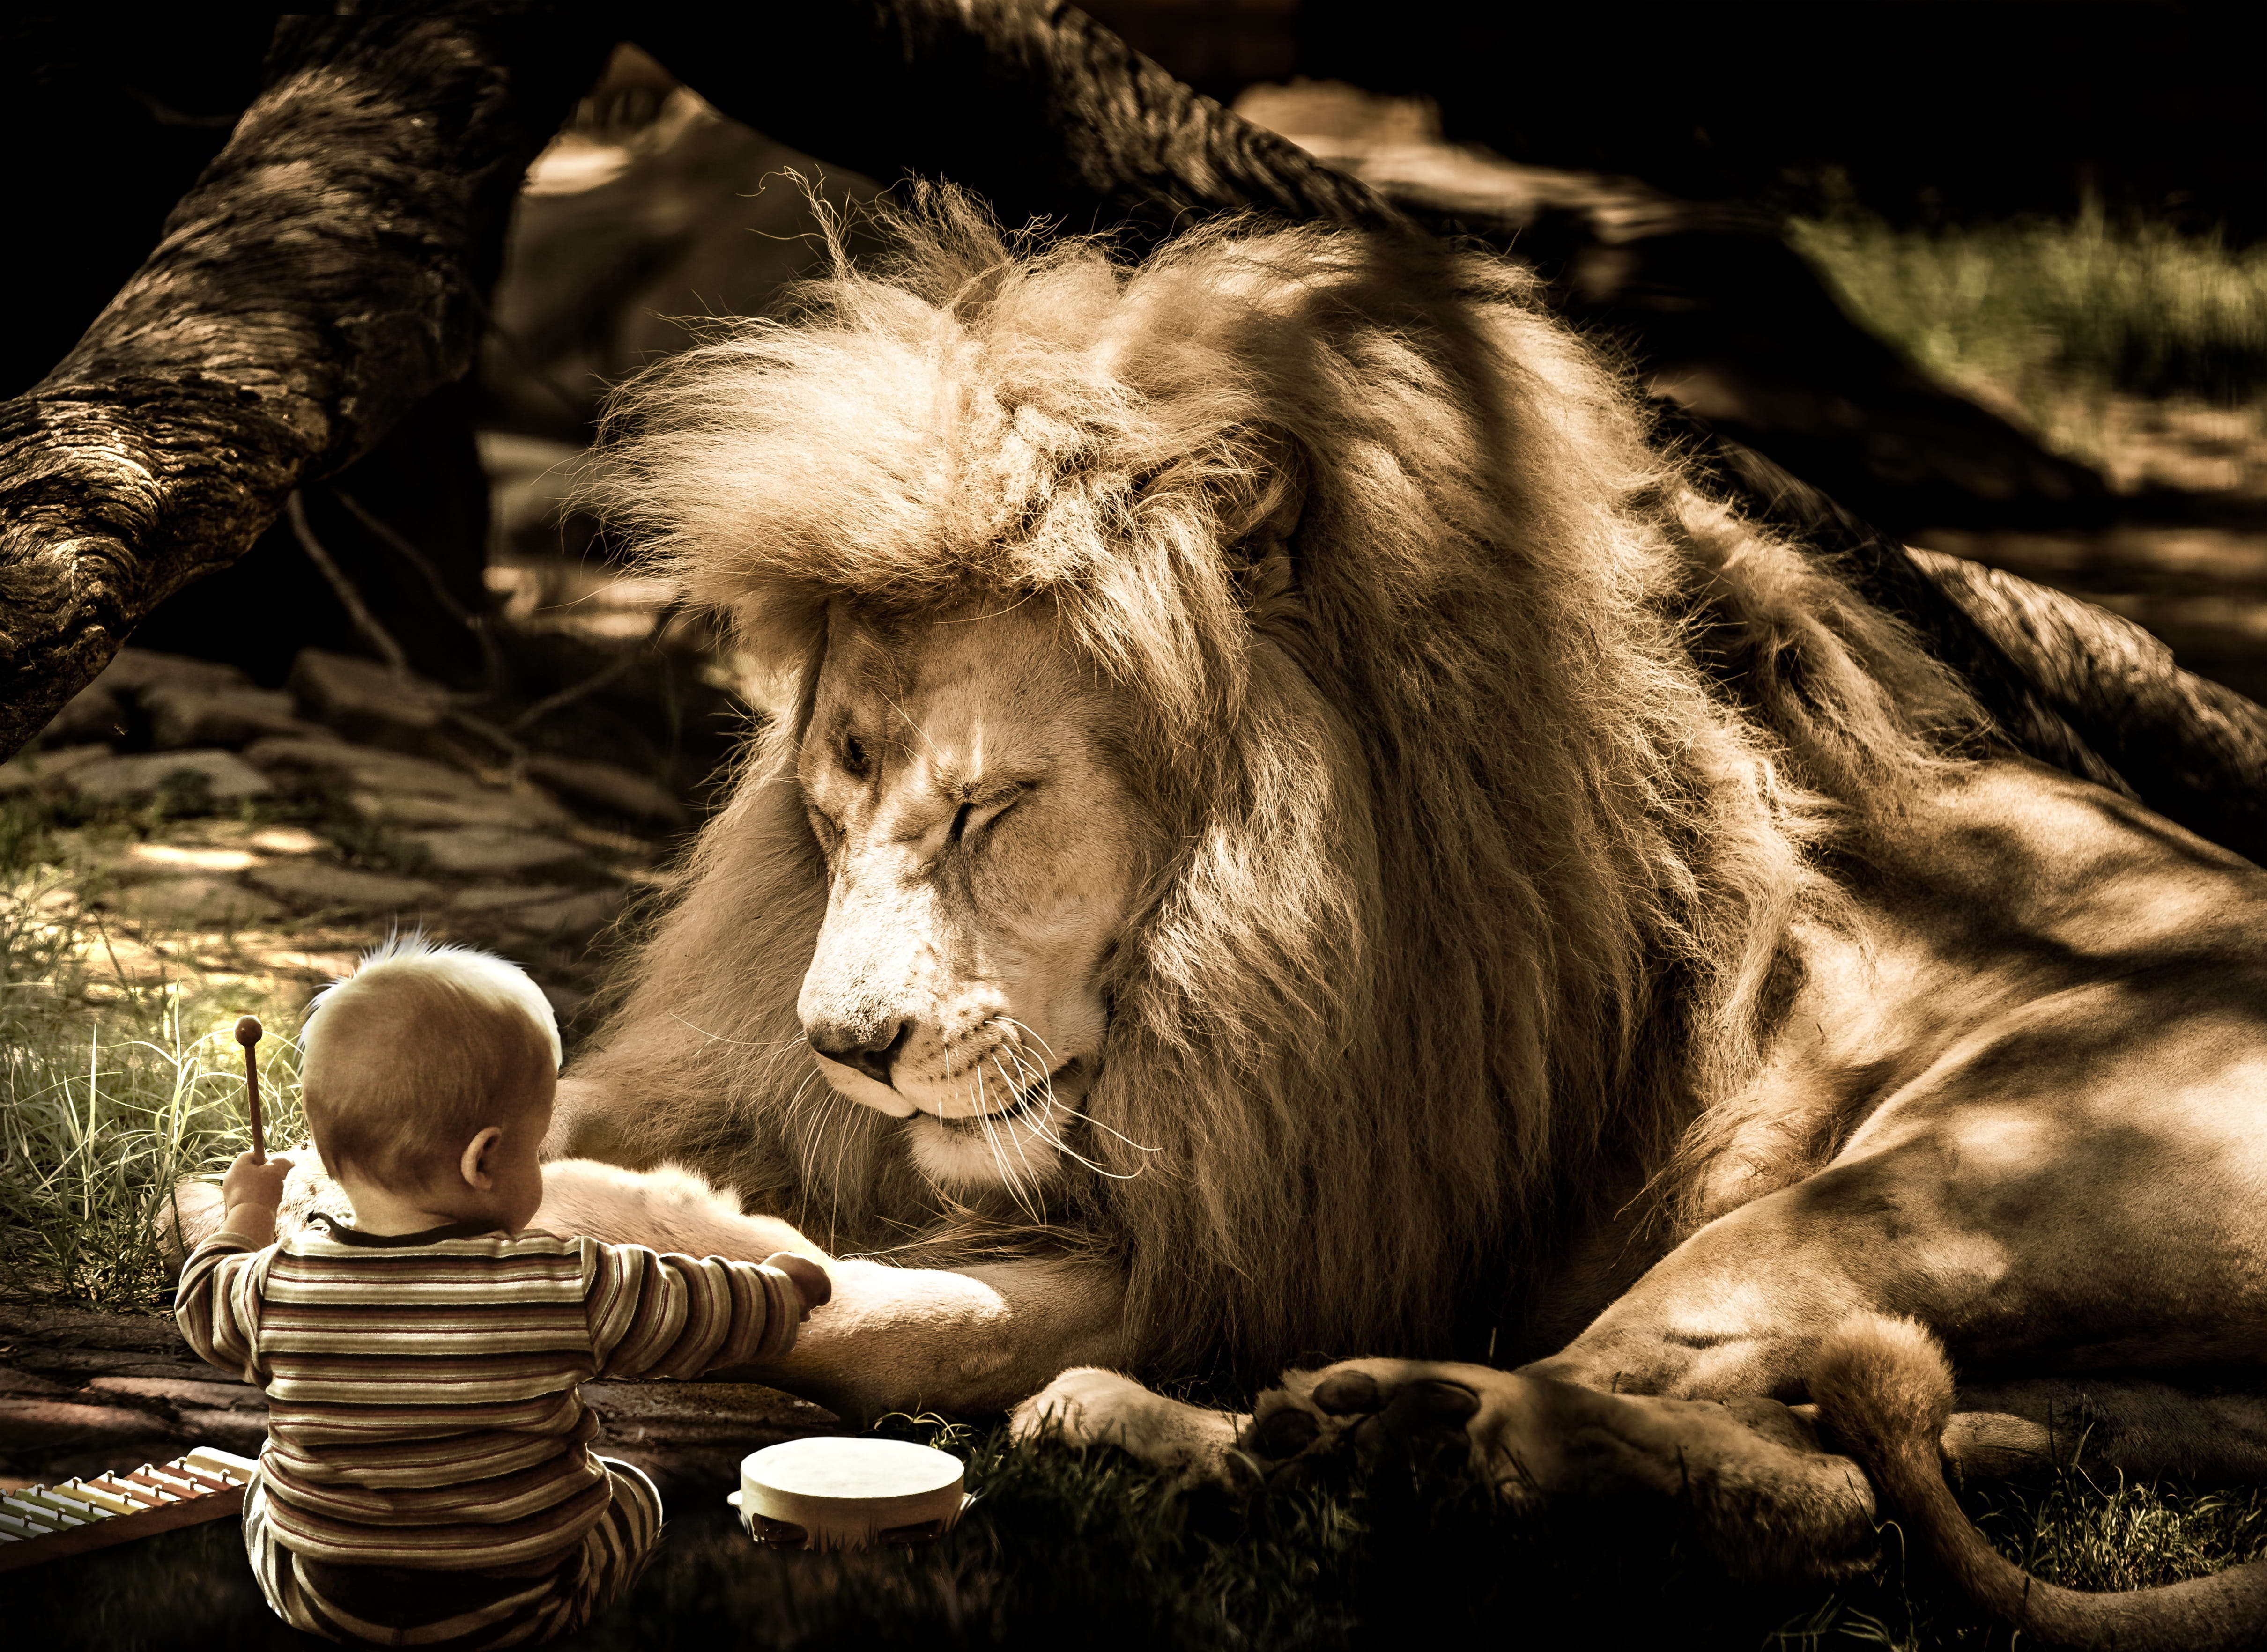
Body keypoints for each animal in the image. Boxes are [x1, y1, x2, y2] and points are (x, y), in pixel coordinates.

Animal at [504, 193, 2267, 1640]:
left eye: (989, 809)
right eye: (823, 808)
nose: (846, 1047)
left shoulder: (1280, 1235)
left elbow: (893, 1315)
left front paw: (668, 1230)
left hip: (1903, 1184)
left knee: (1664, 1424)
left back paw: (1273, 1424)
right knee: (1835, 1468)